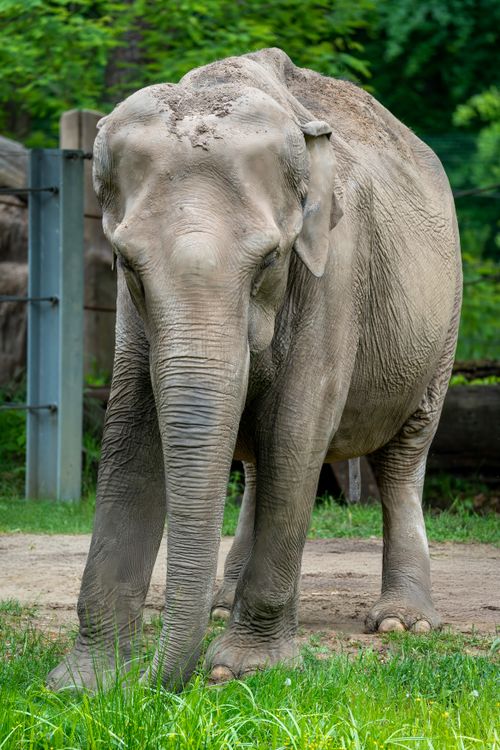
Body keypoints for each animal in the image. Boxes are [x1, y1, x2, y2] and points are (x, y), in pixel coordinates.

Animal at [48, 47, 461, 691]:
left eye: (270, 260)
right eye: (126, 263)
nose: (152, 685)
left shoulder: (335, 268)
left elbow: (297, 427)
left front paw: (241, 670)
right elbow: (130, 430)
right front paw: (85, 684)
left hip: (441, 327)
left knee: (402, 456)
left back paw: (403, 623)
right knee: (256, 466)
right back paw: (222, 604)